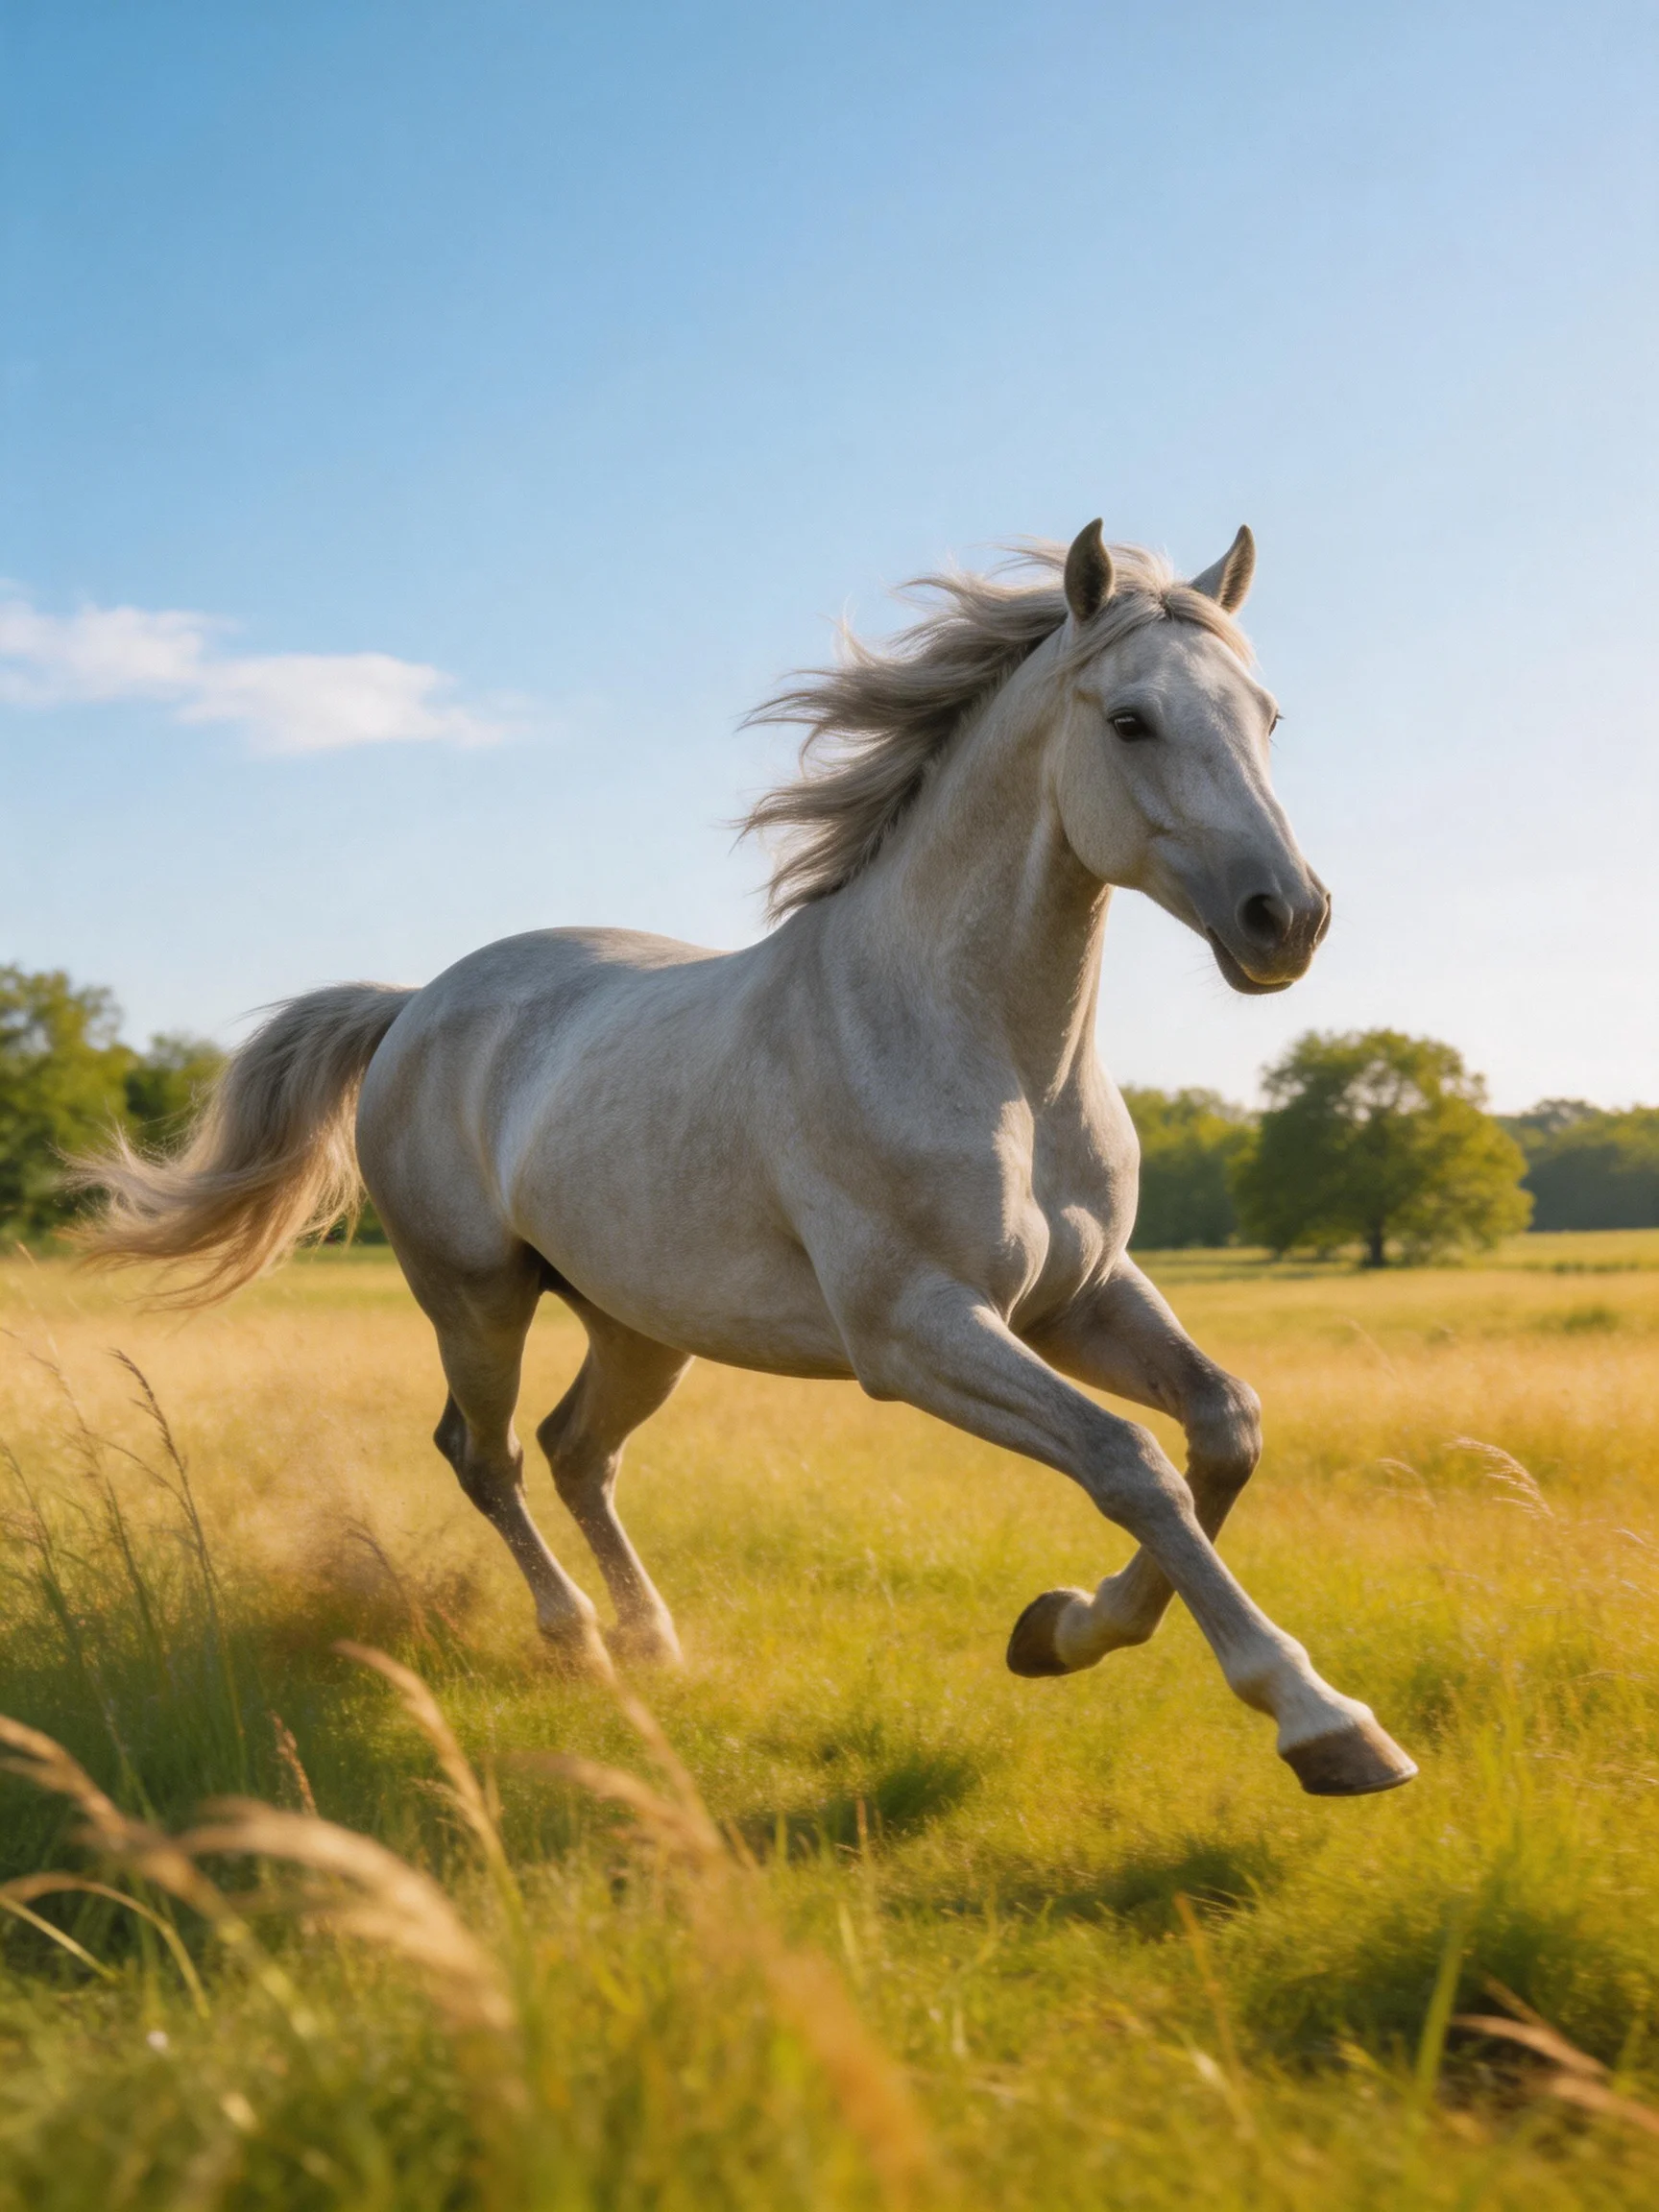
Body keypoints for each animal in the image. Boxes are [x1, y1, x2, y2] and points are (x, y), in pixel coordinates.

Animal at [83, 522, 1416, 1798]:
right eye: (1131, 719)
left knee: (576, 1452)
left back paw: (655, 1643)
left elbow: (1222, 1430)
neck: (988, 1055)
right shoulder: (916, 1330)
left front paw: (1059, 1630)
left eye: (1269, 717)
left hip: (639, 1324)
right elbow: (1128, 1459)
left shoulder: (1079, 1298)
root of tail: (414, 1006)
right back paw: (577, 1640)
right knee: (487, 1454)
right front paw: (1325, 1723)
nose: (1287, 919)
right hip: (476, 1299)